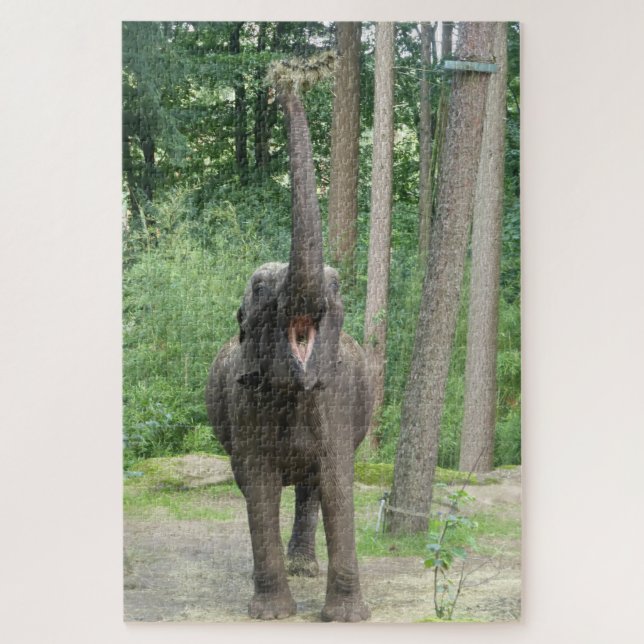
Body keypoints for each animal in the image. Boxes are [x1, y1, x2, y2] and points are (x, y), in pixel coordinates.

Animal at [206, 86, 373, 621]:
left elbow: (338, 482)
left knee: (310, 487)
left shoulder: (337, 400)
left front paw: (346, 617)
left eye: (336, 286)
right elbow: (258, 486)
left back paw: (304, 567)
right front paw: (273, 613)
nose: (286, 85)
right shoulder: (245, 403)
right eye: (259, 288)